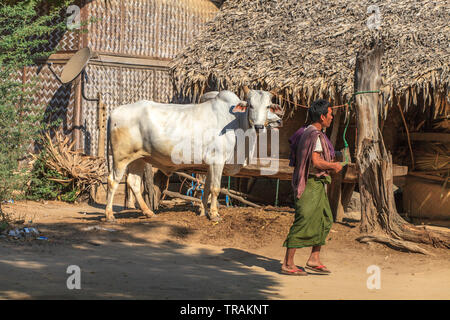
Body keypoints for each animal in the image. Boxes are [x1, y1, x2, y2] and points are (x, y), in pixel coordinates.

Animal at [105, 89, 282, 221]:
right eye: (251, 105)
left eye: (268, 106)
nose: (259, 126)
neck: (237, 122)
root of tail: (114, 111)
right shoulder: (218, 161)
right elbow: (215, 188)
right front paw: (214, 214)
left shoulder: (210, 164)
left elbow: (207, 188)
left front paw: (204, 211)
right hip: (120, 158)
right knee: (113, 181)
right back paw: (109, 214)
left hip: (139, 158)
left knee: (133, 182)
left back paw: (148, 212)